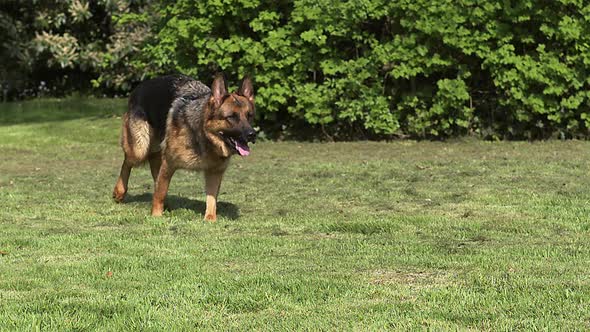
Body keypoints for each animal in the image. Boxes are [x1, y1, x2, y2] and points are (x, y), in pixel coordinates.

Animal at [113, 74, 256, 222]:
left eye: (249, 116)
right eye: (231, 117)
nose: (252, 134)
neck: (204, 136)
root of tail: (140, 86)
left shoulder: (214, 173)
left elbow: (211, 199)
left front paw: (210, 219)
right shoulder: (169, 164)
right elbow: (160, 193)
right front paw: (156, 216)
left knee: (154, 168)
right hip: (139, 149)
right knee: (127, 162)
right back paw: (119, 192)